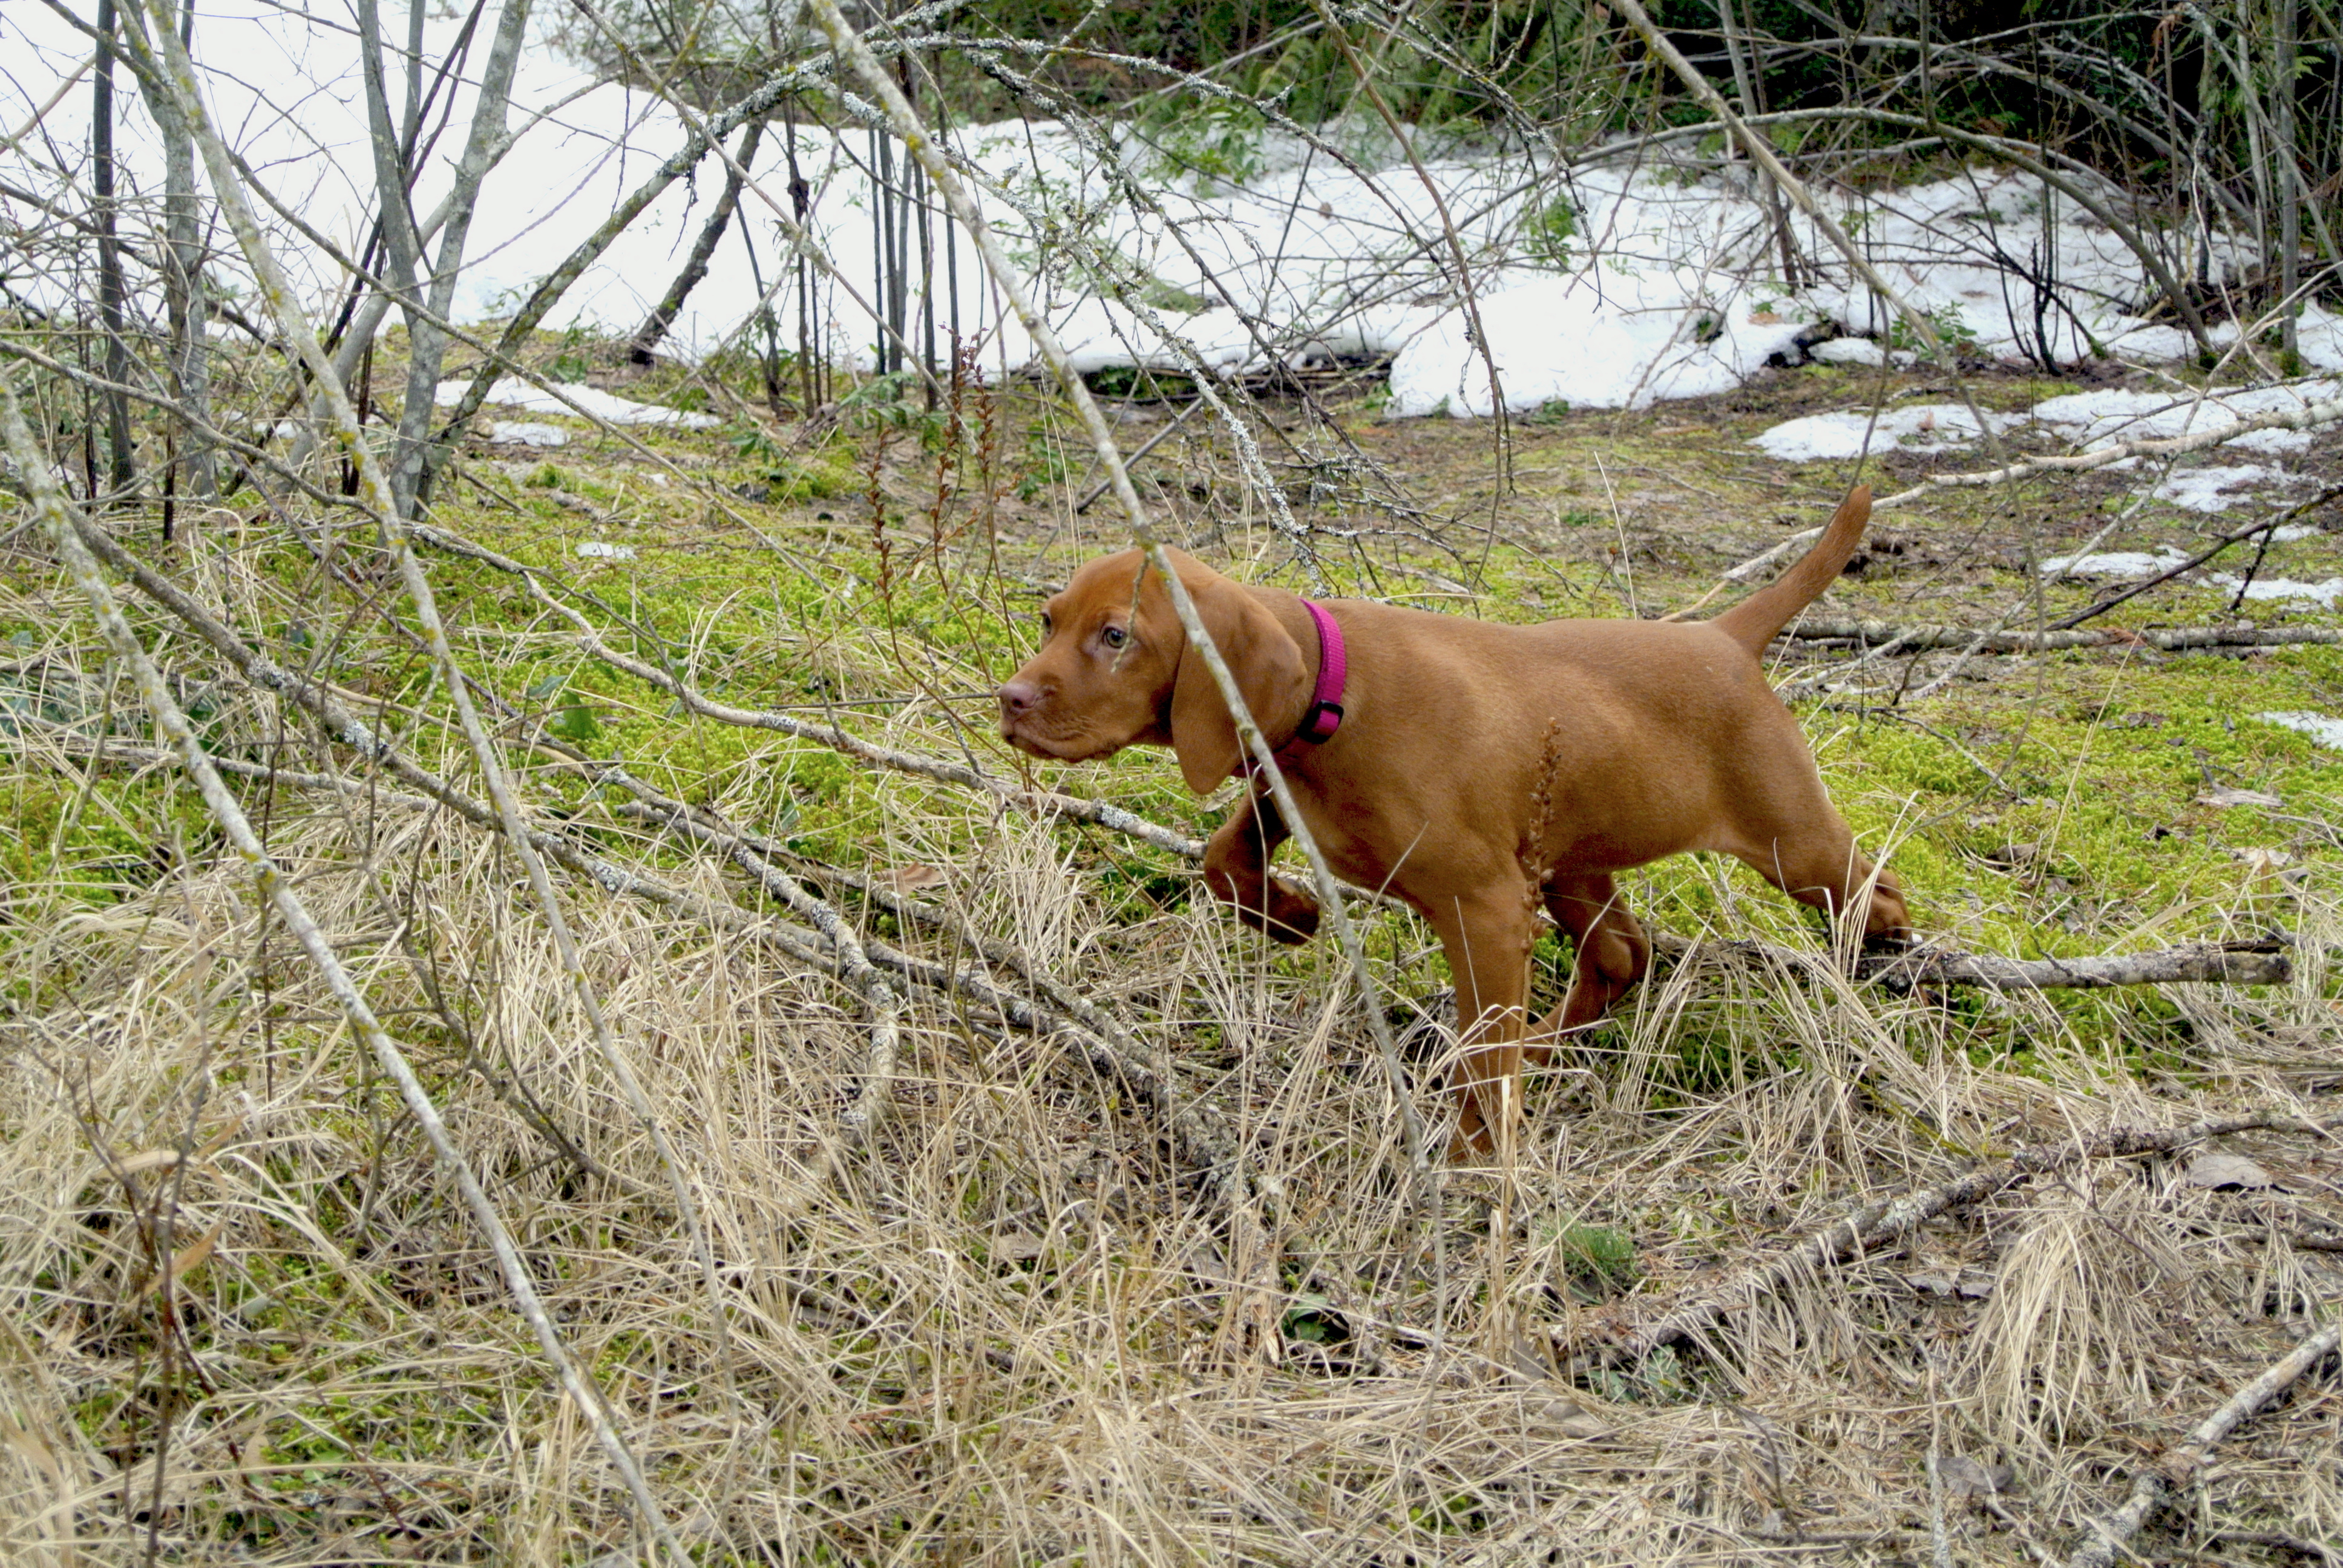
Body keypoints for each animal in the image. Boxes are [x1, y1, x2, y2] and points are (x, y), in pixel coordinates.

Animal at [998, 485, 1912, 1148]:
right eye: (1049, 620)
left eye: (1115, 637)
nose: (1007, 701)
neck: (1335, 689)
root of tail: (1723, 636)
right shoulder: (1283, 782)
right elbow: (1225, 856)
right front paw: (1288, 915)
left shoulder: (1486, 909)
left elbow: (1481, 1051)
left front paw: (1480, 1160)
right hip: (1567, 855)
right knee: (1620, 954)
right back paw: (1544, 1045)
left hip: (1789, 840)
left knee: (1874, 890)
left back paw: (1881, 960)